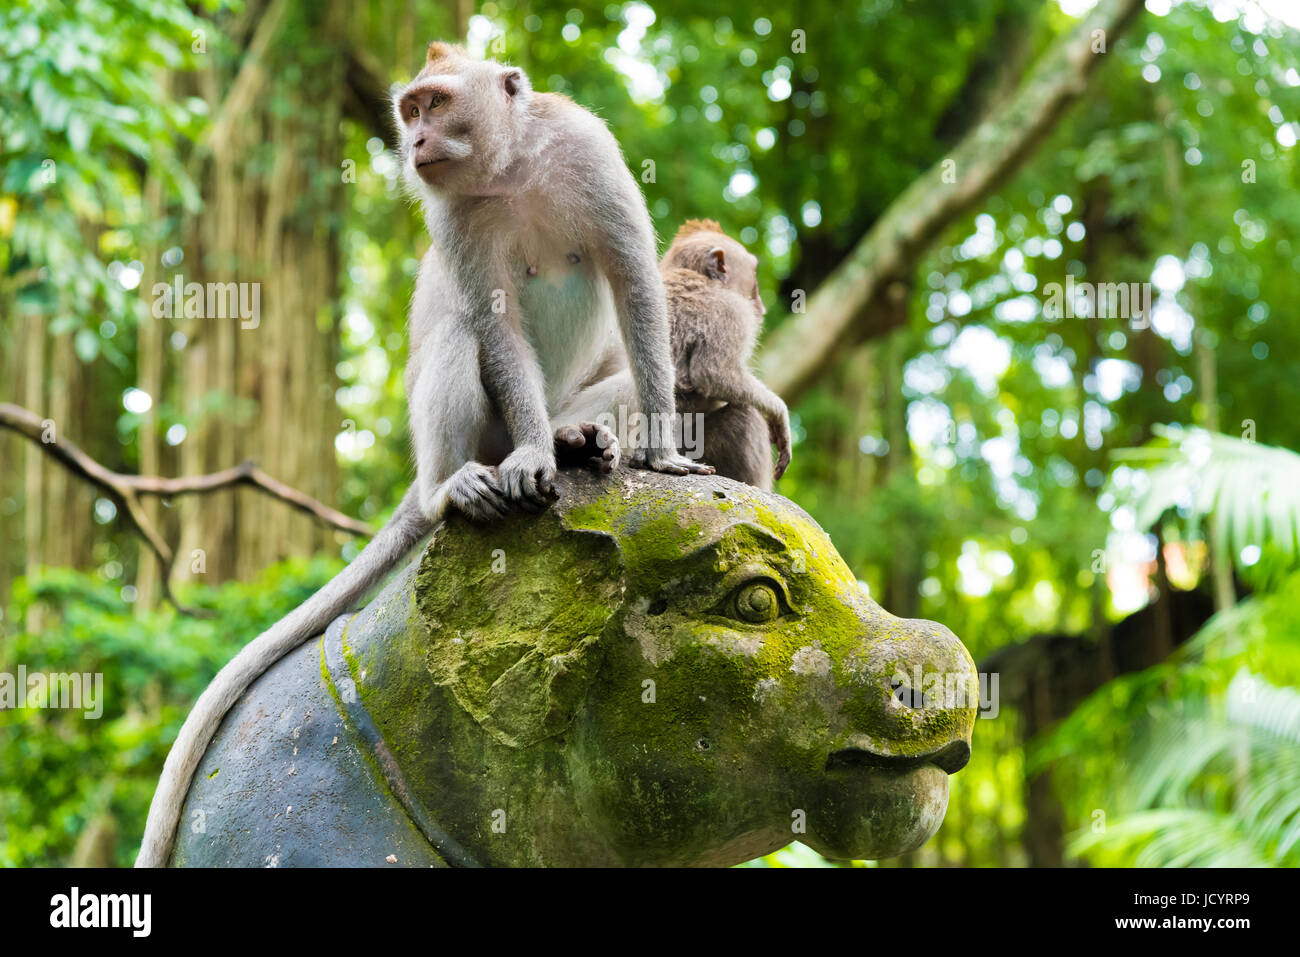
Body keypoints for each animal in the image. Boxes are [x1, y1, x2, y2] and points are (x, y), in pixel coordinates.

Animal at [135, 43, 710, 867]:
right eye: (408, 110)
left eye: (434, 103)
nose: (415, 142)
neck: (511, 170)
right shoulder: (453, 219)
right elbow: (493, 323)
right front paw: (534, 454)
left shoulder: (589, 153)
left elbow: (634, 287)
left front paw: (659, 447)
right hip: (468, 443)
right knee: (460, 333)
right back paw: (461, 486)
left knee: (619, 372)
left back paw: (576, 439)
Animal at [660, 220, 791, 490]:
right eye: (753, 276)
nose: (761, 306)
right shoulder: (730, 311)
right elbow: (713, 373)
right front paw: (778, 411)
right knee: (746, 416)